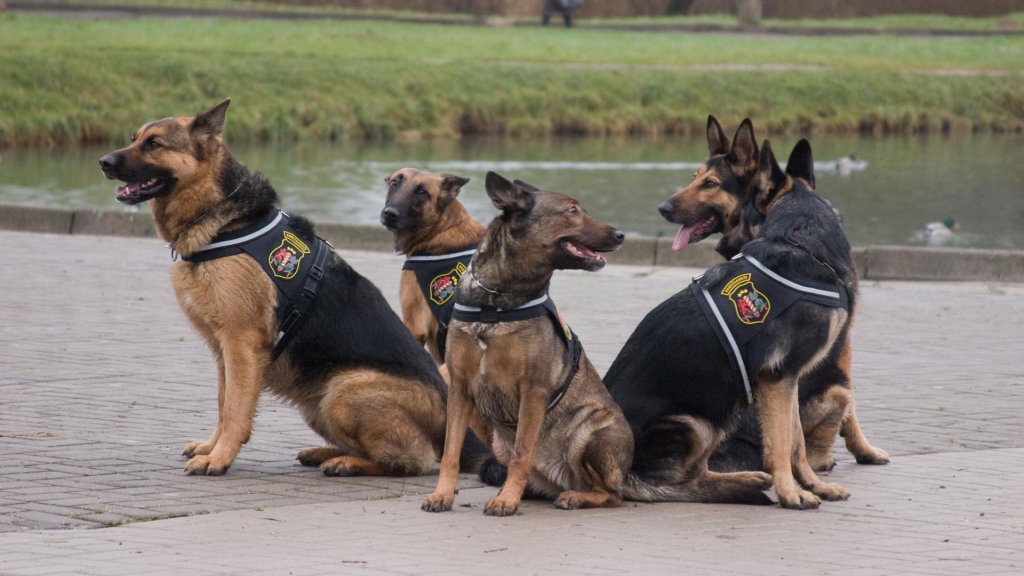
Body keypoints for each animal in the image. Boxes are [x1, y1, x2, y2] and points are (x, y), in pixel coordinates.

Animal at [97, 98, 489, 475]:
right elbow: (224, 404)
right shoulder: (223, 350)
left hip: (343, 390)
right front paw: (212, 447)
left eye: (154, 144)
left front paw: (219, 458)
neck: (223, 219)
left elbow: (235, 409)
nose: (103, 161)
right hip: (317, 404)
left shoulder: (241, 345)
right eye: (134, 138)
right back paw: (326, 453)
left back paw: (347, 464)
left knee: (415, 460)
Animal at [419, 171, 770, 516]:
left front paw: (506, 500)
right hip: (505, 445)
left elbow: (522, 453)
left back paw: (575, 496)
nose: (620, 235)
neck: (496, 302)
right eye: (572, 210)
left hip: (590, 427)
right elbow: (450, 452)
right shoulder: (460, 388)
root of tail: (626, 474)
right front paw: (442, 494)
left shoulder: (533, 390)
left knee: (611, 494)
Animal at [712, 142, 888, 471]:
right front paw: (864, 449)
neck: (798, 232)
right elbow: (853, 407)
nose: (720, 247)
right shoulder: (842, 342)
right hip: (833, 387)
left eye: (744, 217)